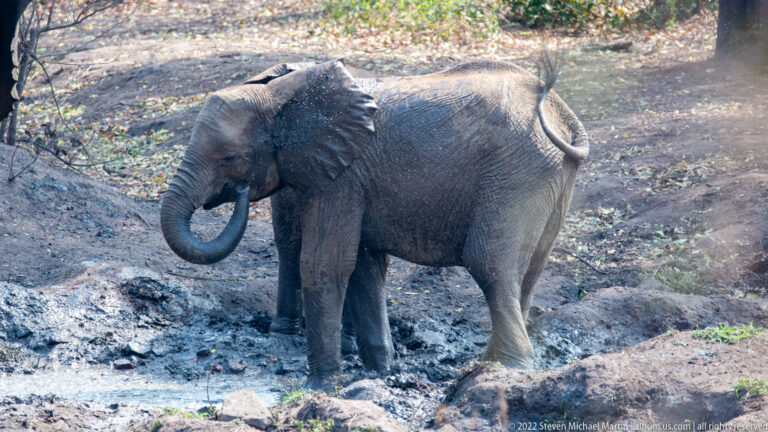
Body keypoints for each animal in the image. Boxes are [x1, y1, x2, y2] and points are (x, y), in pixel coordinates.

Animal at [160, 59, 589, 389]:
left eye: (228, 158)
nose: (239, 191)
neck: (281, 97)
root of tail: (562, 114)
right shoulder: (350, 178)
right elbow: (363, 267)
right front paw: (381, 372)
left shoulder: (342, 175)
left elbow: (325, 264)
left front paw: (320, 386)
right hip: (549, 177)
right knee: (527, 272)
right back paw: (494, 360)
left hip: (514, 174)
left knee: (489, 264)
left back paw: (509, 368)